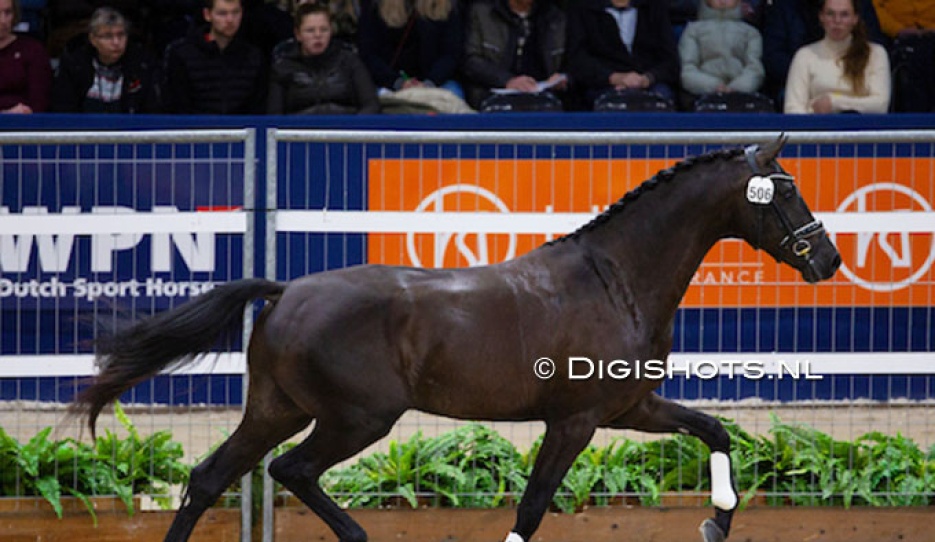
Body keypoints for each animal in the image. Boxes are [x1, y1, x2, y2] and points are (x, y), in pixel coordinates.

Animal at [71, 135, 840, 542]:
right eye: (785, 188)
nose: (828, 260)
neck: (614, 278)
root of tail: (286, 291)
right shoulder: (574, 421)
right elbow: (532, 507)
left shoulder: (629, 410)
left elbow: (715, 430)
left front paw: (716, 523)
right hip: (357, 418)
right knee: (291, 471)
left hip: (276, 408)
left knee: (211, 477)